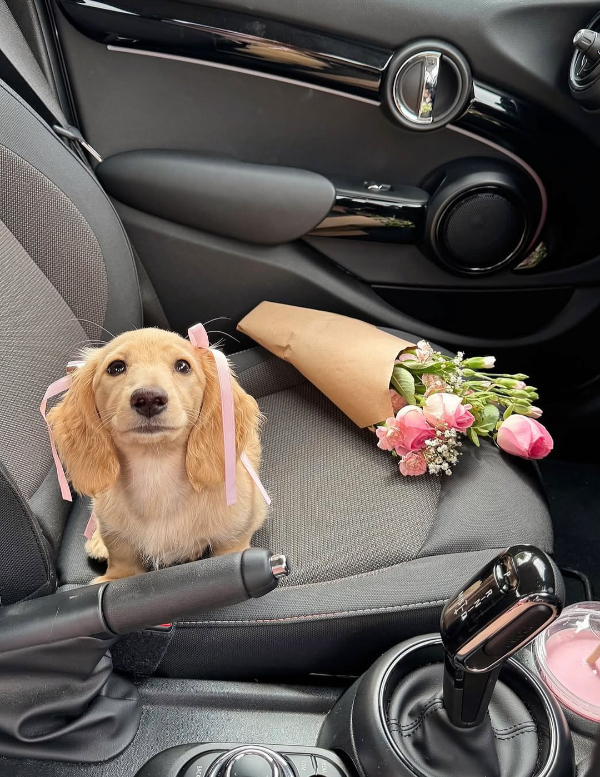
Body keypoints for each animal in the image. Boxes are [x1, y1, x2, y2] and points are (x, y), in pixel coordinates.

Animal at [47, 328, 266, 583]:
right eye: (116, 367)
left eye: (183, 366)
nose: (149, 399)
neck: (155, 470)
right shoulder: (119, 540)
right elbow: (122, 558)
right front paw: (113, 576)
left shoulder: (234, 536)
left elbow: (229, 550)